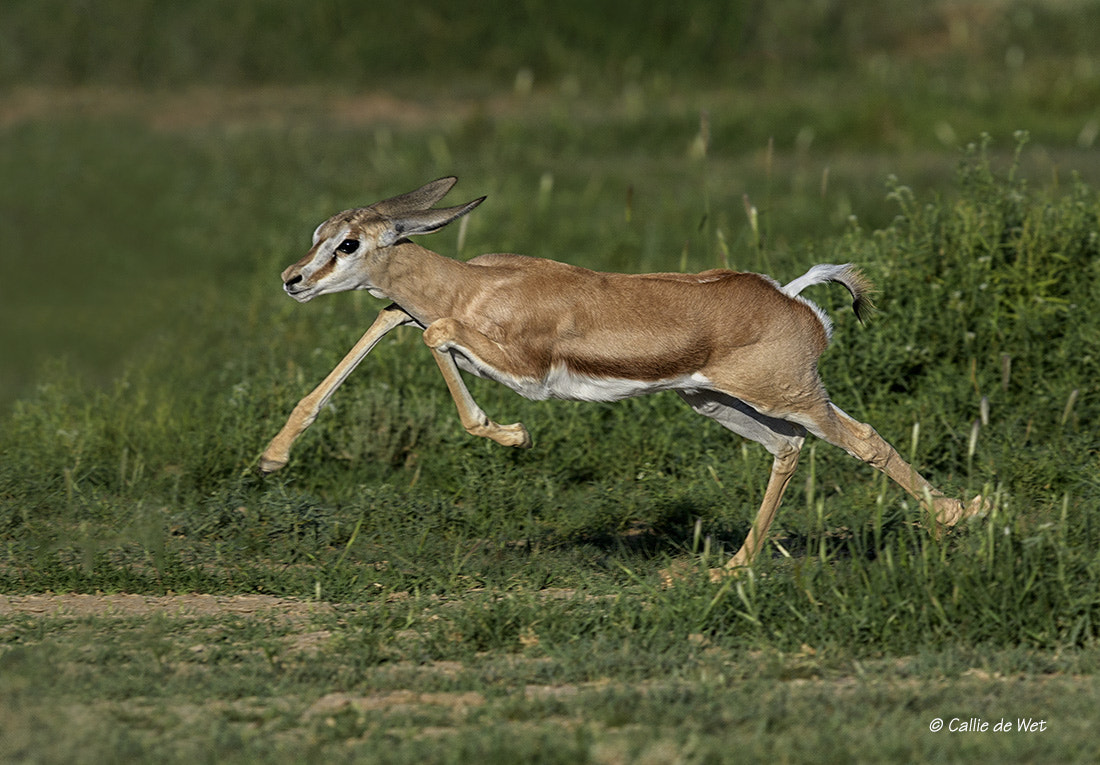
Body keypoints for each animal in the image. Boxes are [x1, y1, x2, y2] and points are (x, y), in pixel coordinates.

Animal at [261, 179, 985, 572]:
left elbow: (432, 333)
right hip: (713, 402)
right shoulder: (430, 325)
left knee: (860, 439)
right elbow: (391, 318)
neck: (474, 285)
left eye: (349, 244)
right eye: (320, 232)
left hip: (787, 394)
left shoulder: (522, 371)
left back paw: (962, 512)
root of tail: (794, 300)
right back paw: (734, 567)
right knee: (789, 448)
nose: (292, 279)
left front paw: (514, 436)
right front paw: (273, 455)